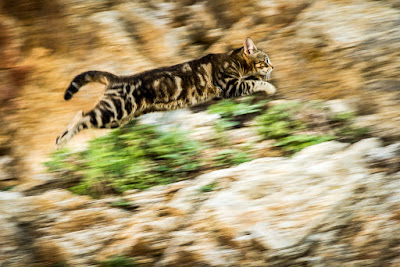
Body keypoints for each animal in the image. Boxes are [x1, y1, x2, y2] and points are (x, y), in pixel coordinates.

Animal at [55, 37, 276, 149]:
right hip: (115, 110)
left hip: (116, 120)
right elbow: (253, 82)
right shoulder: (229, 85)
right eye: (265, 59)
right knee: (83, 117)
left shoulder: (233, 85)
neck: (233, 60)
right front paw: (270, 87)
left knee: (82, 115)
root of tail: (117, 78)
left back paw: (62, 138)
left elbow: (253, 80)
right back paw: (62, 141)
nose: (272, 66)